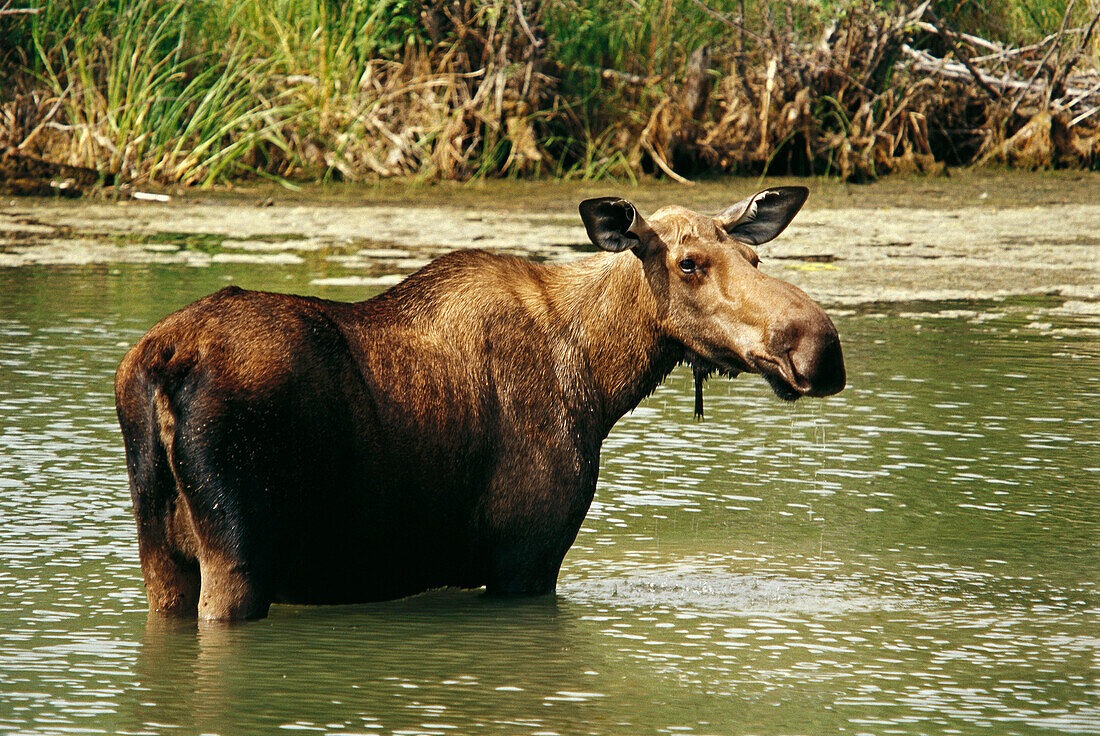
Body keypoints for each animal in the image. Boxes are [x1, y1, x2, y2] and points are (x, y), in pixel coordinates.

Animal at [116, 188, 840, 620]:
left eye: (752, 256)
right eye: (688, 263)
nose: (819, 348)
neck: (601, 379)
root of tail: (160, 367)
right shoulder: (526, 555)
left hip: (161, 554)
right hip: (237, 555)